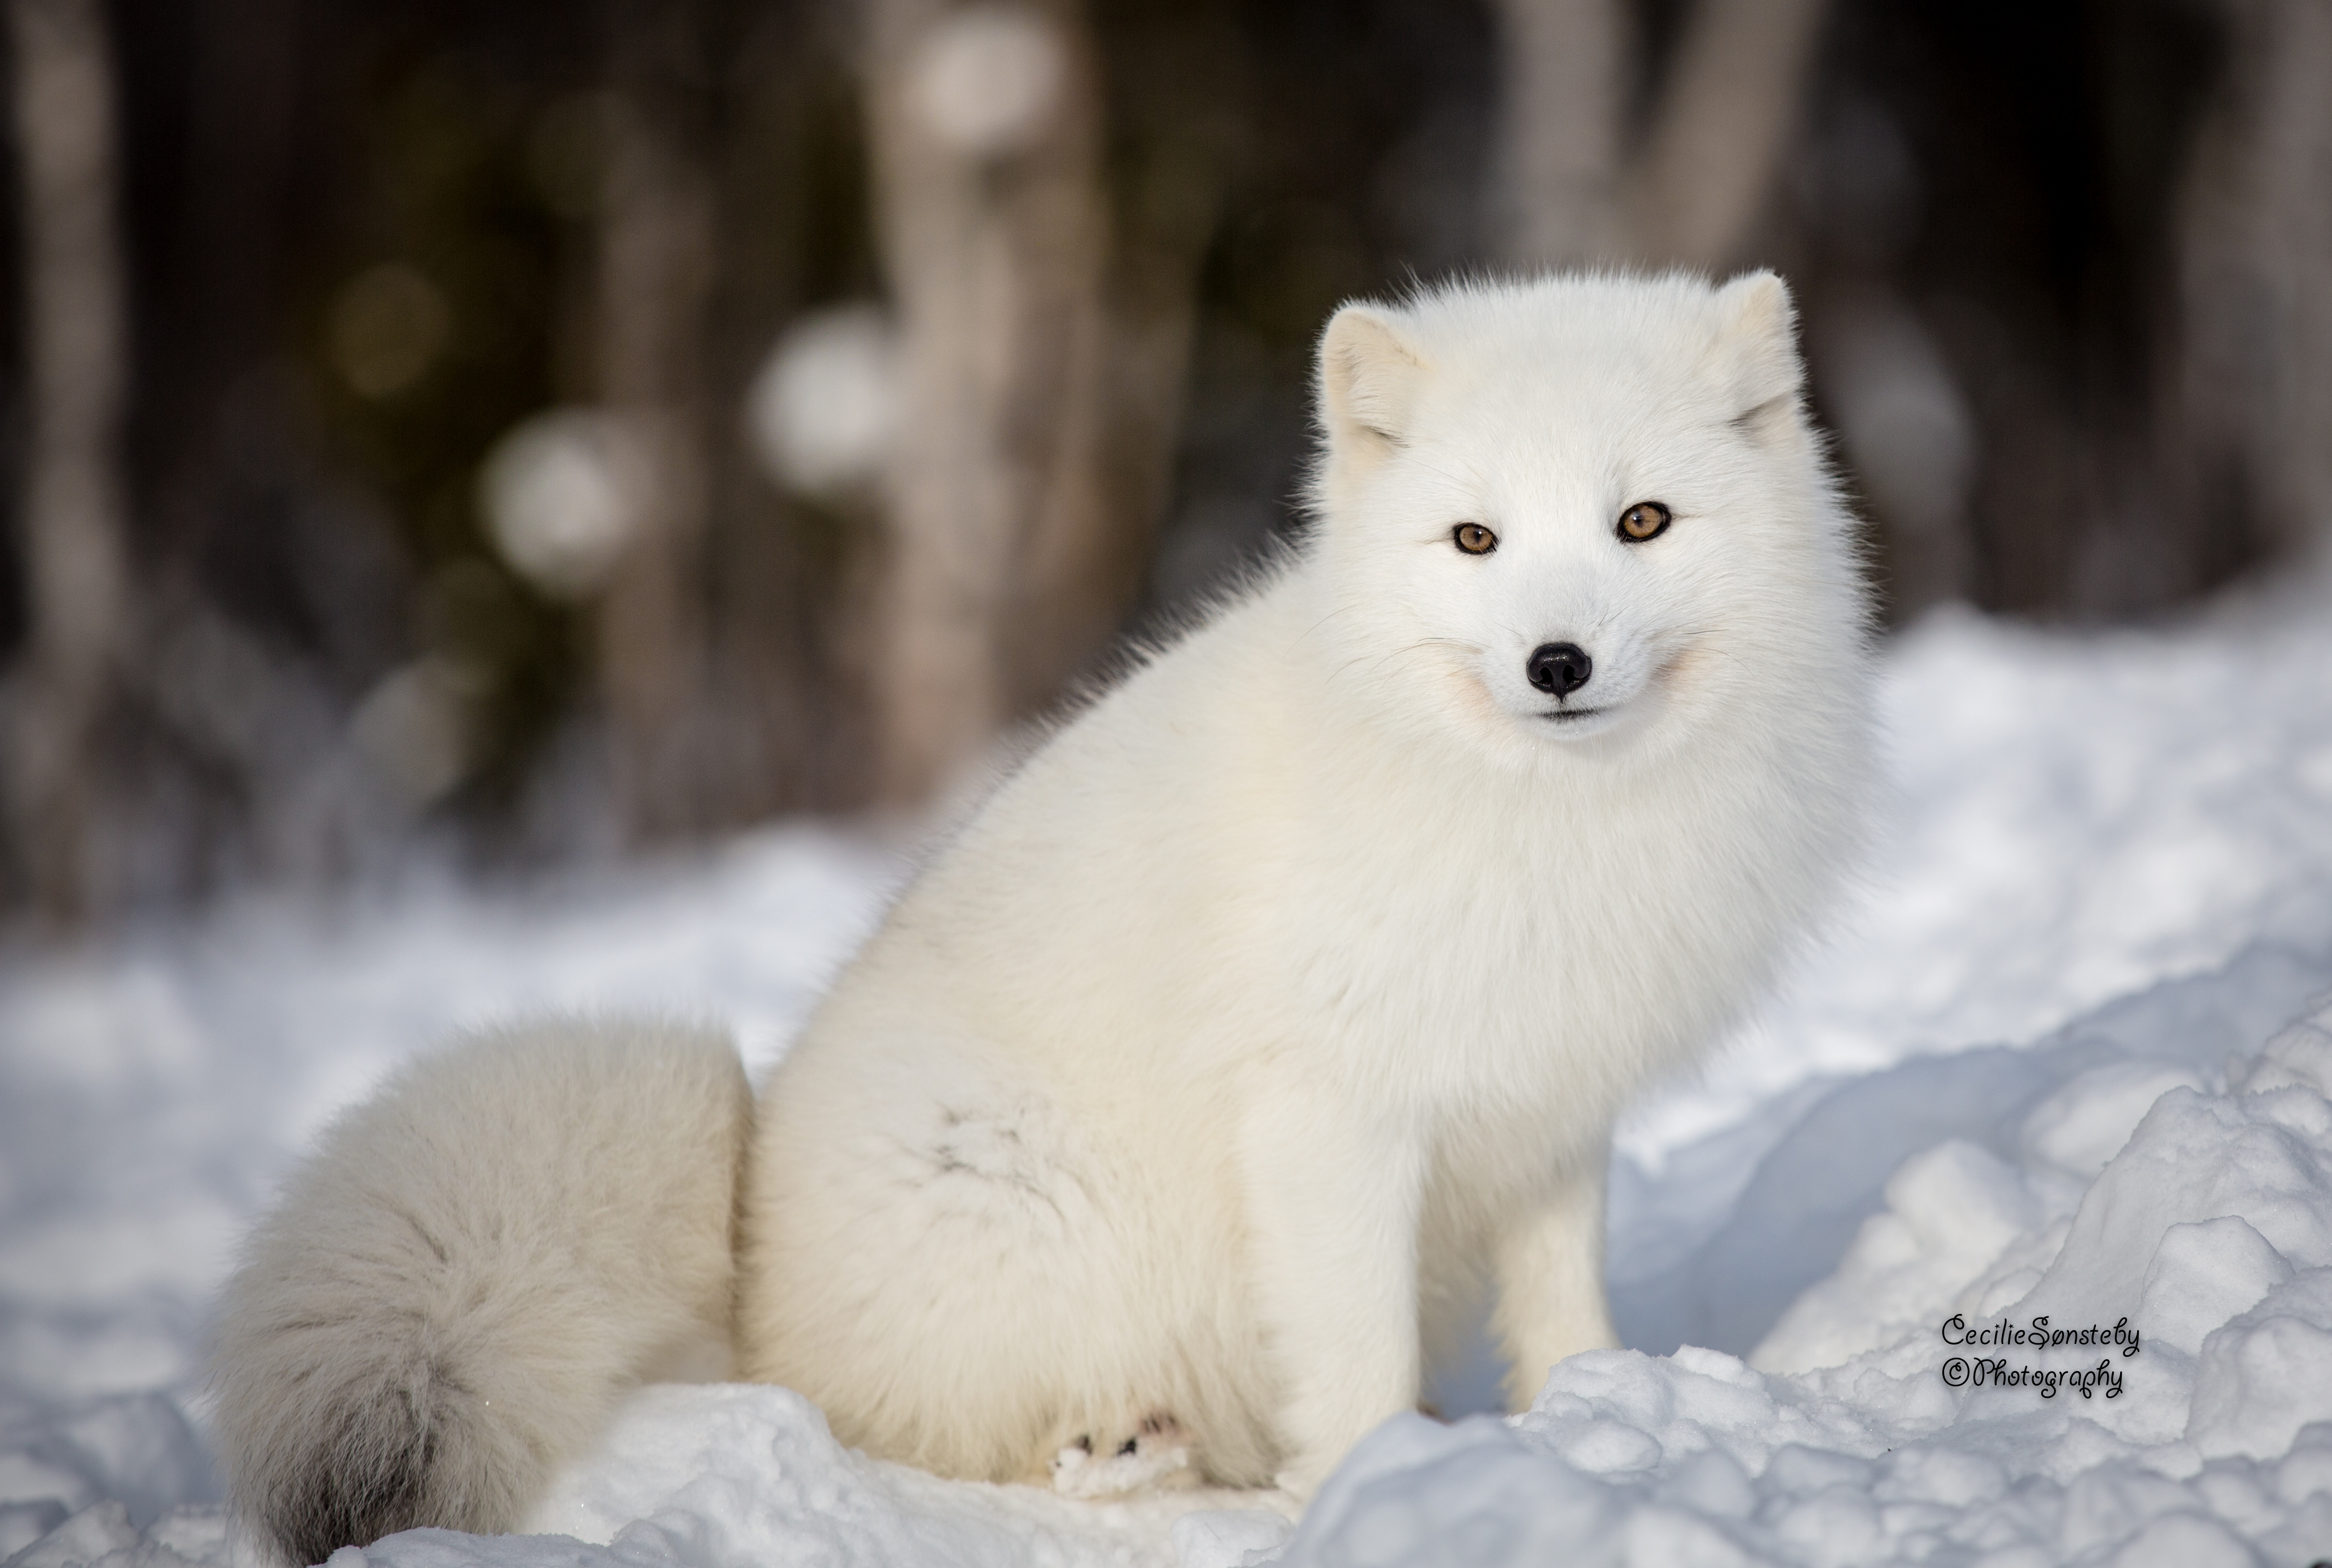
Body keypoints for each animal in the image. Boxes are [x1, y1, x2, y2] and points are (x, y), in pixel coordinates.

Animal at [210, 266, 1865, 1558]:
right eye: (1475, 541)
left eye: (1642, 521)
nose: (1556, 663)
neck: (1542, 818)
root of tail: (744, 1270)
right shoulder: (1328, 1118)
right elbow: (1351, 1349)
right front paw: (1376, 1484)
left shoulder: (1550, 1106)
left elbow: (1565, 1304)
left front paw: (1593, 1420)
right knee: (952, 1443)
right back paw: (1132, 1455)